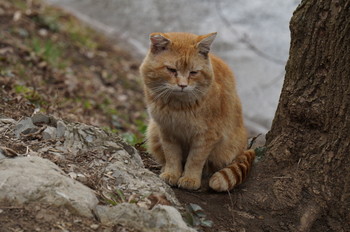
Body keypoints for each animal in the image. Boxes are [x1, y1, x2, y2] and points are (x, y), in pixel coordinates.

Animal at [139, 31, 254, 191]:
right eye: (171, 70)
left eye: (193, 72)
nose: (182, 85)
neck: (178, 107)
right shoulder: (167, 131)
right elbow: (171, 155)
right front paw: (172, 174)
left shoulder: (206, 137)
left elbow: (195, 160)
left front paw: (190, 179)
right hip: (153, 131)